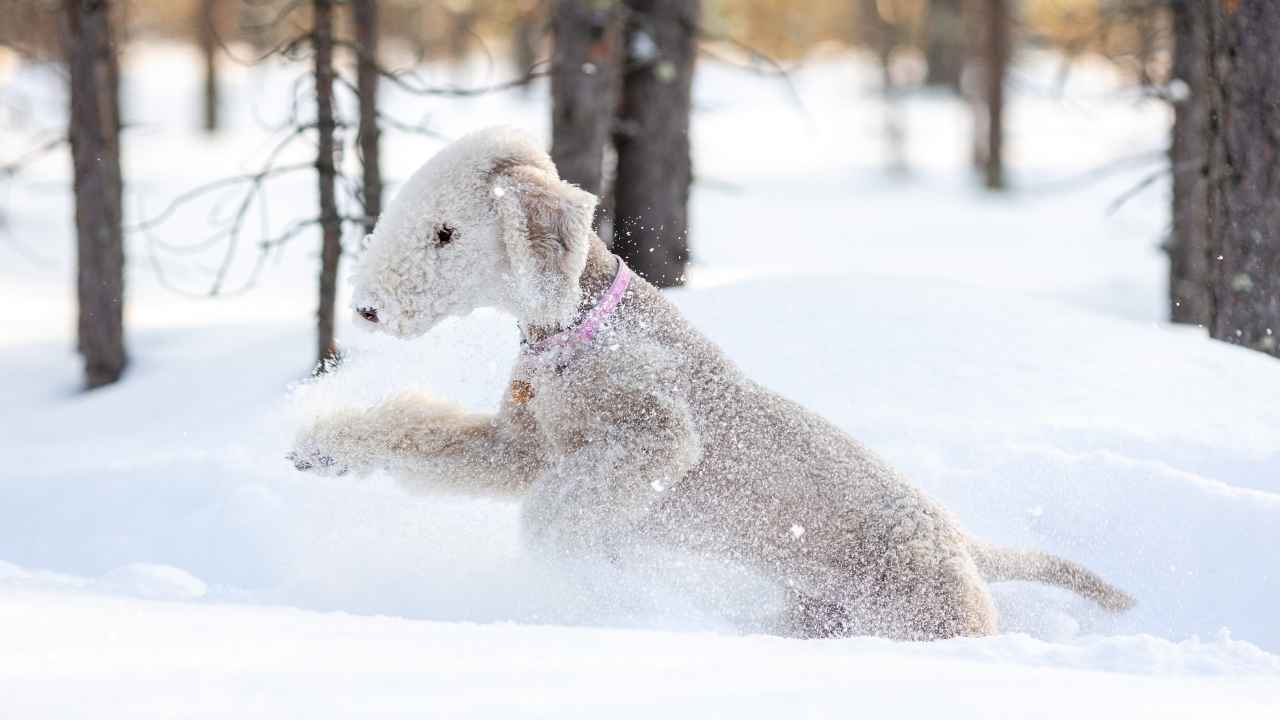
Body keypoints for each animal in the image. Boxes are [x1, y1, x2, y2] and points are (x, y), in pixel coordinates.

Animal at [290, 126, 1131, 635]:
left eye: (446, 233)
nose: (367, 307)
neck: (577, 333)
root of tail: (964, 544)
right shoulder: (522, 446)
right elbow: (430, 436)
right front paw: (319, 449)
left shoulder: (654, 435)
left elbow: (561, 508)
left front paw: (580, 575)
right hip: (816, 613)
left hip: (919, 608)